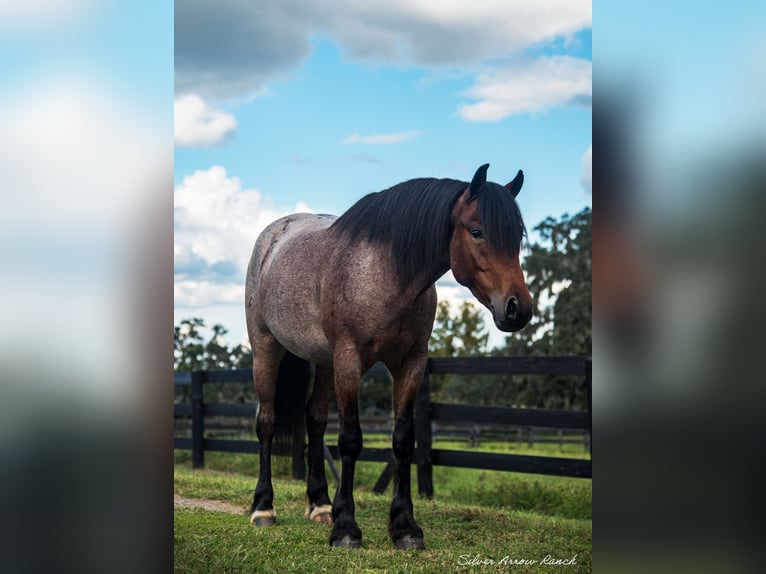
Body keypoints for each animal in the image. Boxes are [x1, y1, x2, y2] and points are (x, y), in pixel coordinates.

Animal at [246, 164, 536, 552]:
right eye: (477, 231)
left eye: (517, 236)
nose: (518, 308)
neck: (385, 273)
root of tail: (272, 239)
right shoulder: (350, 361)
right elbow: (351, 440)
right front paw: (346, 529)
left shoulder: (410, 364)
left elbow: (403, 441)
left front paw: (404, 527)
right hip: (266, 348)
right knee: (267, 421)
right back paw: (263, 508)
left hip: (324, 362)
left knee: (315, 420)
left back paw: (320, 505)